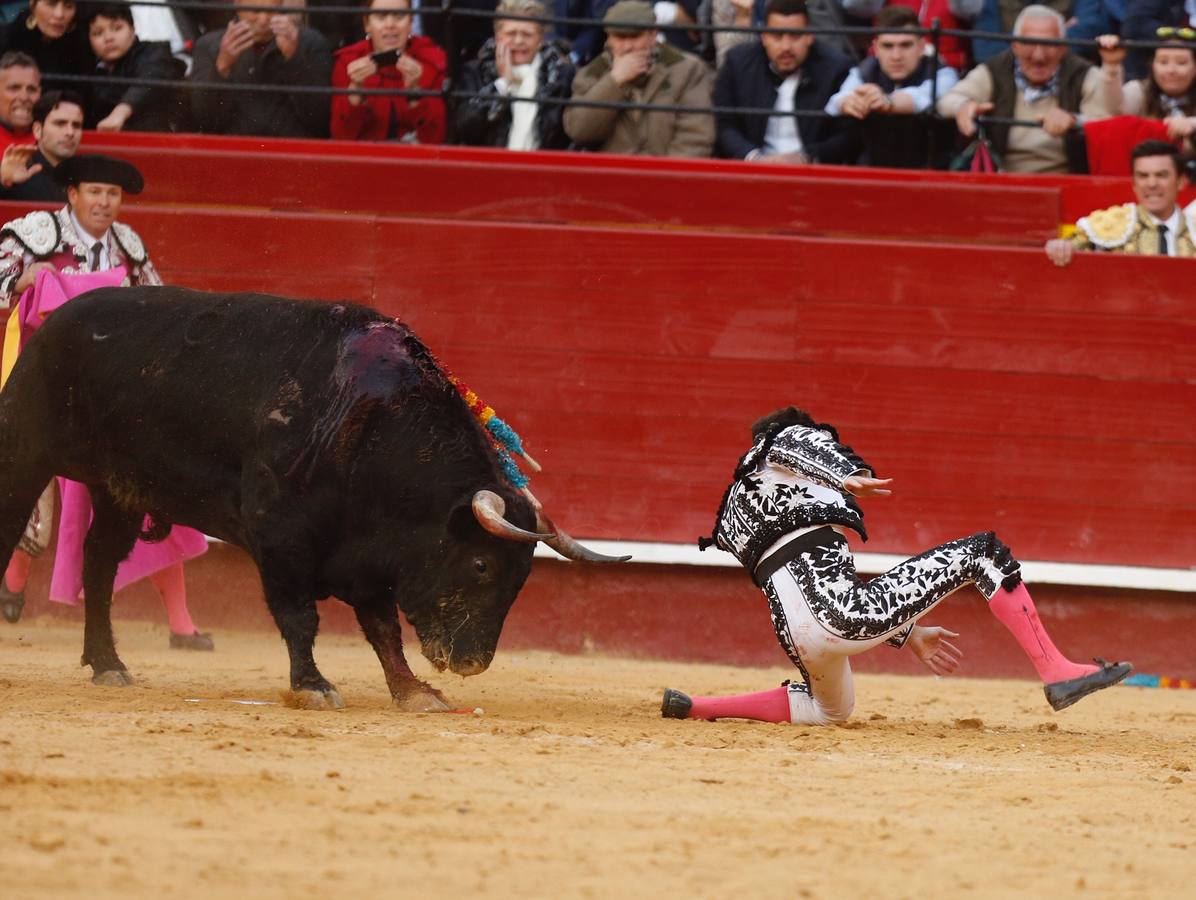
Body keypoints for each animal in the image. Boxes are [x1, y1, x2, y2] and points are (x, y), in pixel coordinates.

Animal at [0, 288, 626, 707]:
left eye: (522, 579)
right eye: (480, 565)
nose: (471, 664)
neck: (372, 427)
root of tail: (56, 318)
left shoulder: (370, 557)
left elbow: (383, 630)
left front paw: (412, 691)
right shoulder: (280, 538)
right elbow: (300, 618)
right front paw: (313, 685)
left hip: (120, 491)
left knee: (99, 564)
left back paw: (107, 663)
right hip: (24, 451)